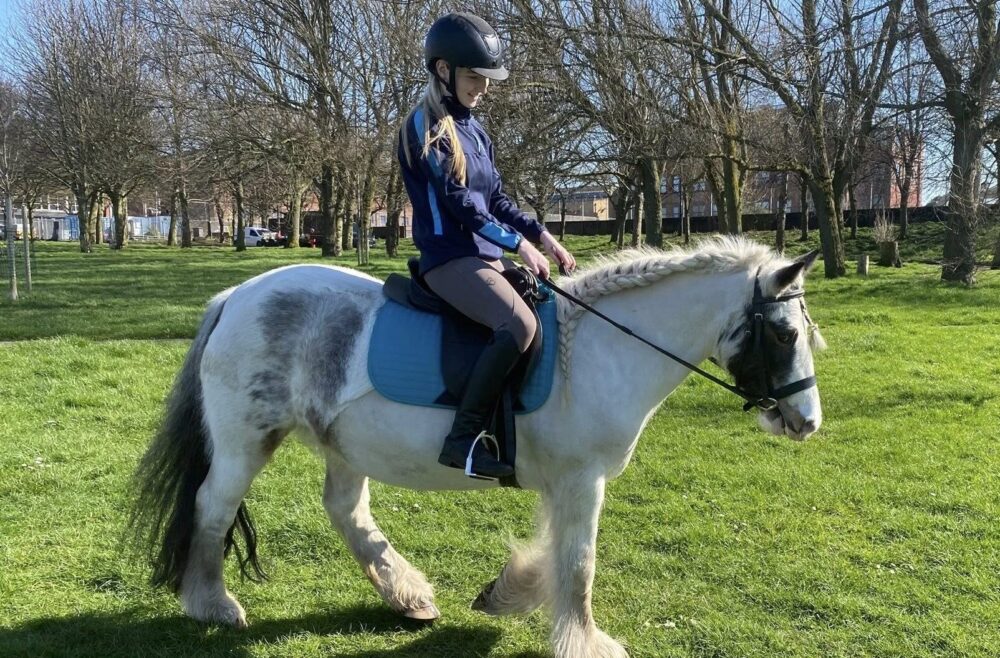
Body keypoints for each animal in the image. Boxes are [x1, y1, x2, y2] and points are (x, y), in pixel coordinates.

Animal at [130, 236, 825, 658]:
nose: (807, 422)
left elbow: (555, 551)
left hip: (346, 444)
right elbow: (579, 563)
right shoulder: (582, 480)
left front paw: (506, 593)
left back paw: (407, 595)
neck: (600, 348)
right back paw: (213, 604)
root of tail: (234, 298)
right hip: (245, 443)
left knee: (347, 511)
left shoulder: (566, 483)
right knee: (212, 508)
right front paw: (586, 641)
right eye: (785, 334)